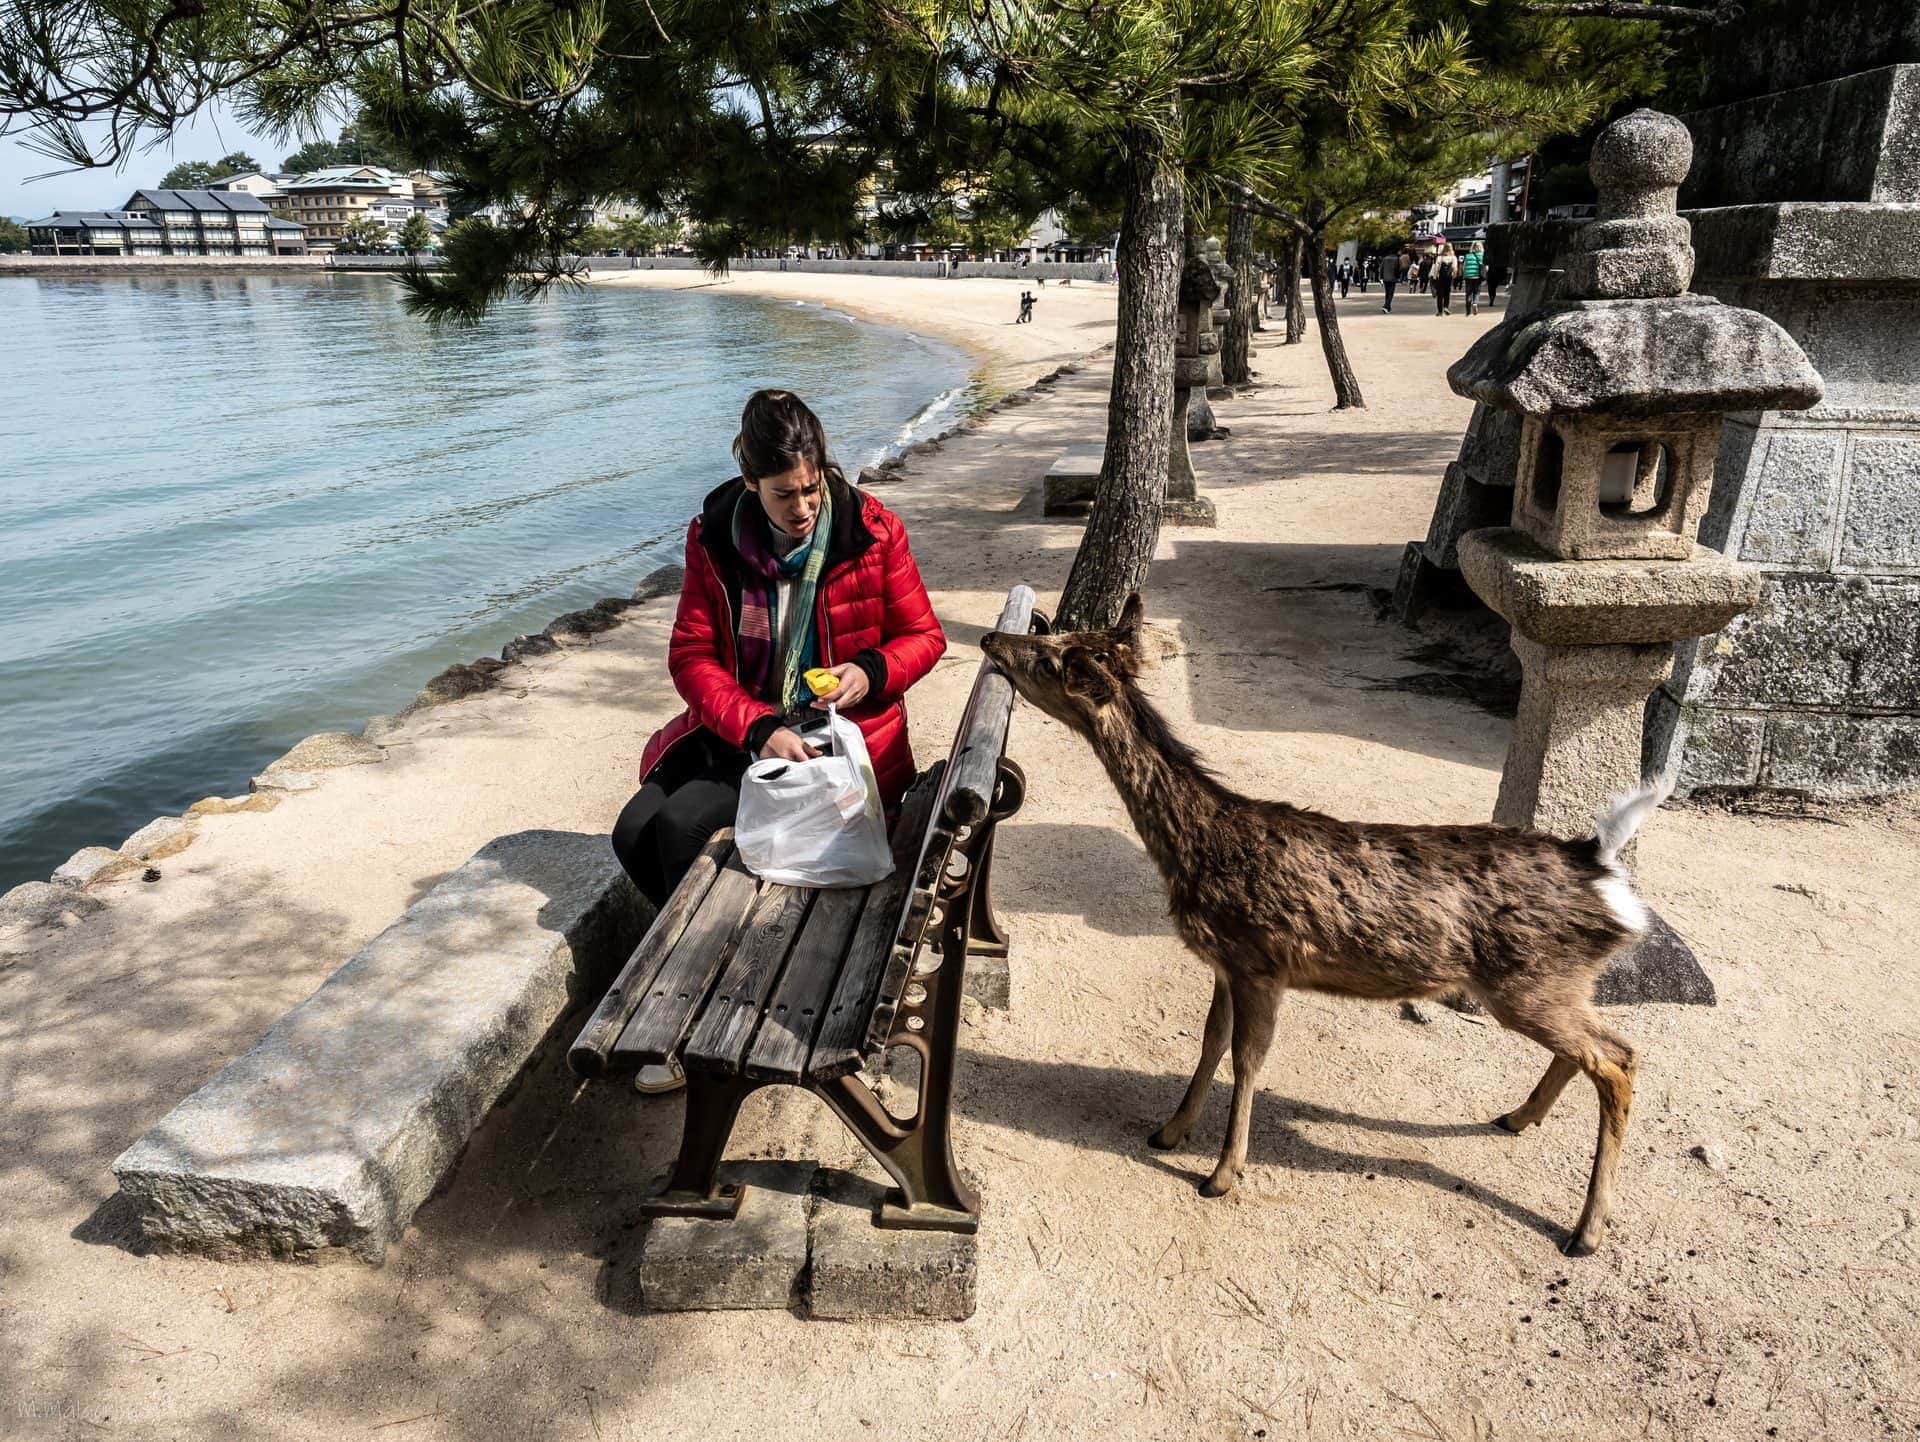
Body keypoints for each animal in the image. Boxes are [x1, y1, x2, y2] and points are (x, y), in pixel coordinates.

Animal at [982, 594, 1658, 1257]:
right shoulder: (1226, 962)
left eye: (1049, 659)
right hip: (1553, 985)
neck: (1195, 849)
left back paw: (1586, 1231)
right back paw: (1516, 1118)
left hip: (1531, 981)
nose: (993, 638)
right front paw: (1170, 1131)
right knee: (1593, 1050)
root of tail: (1602, 872)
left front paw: (1222, 1174)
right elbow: (1210, 1042)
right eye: (1053, 635)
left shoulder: (1262, 961)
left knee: (1620, 1057)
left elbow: (1248, 1059)